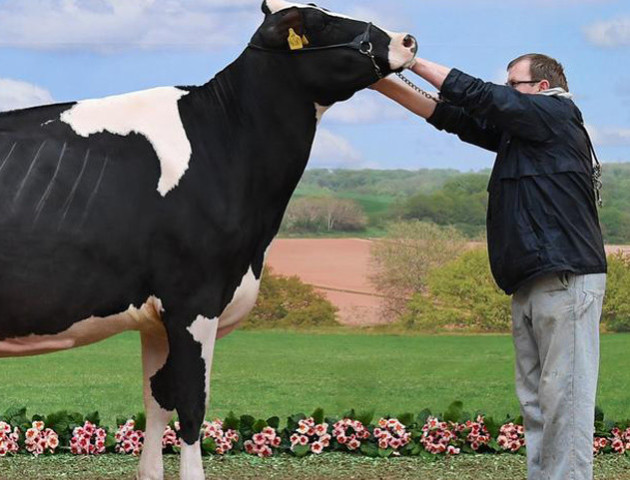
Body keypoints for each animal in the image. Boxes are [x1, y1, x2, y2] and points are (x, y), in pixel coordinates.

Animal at [0, 1, 420, 478]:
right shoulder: (193, 300)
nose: (407, 39)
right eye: (320, 21)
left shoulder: (157, 319)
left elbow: (157, 401)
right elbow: (191, 407)